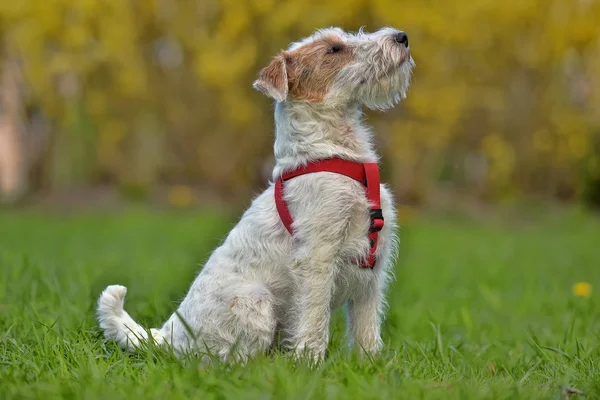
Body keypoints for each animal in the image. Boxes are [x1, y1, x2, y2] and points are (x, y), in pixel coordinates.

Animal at [98, 25, 414, 362]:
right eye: (333, 49)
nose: (401, 37)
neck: (332, 152)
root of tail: (168, 335)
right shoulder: (318, 256)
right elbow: (315, 320)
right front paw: (311, 362)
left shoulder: (373, 266)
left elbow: (367, 327)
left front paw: (371, 364)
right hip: (257, 301)